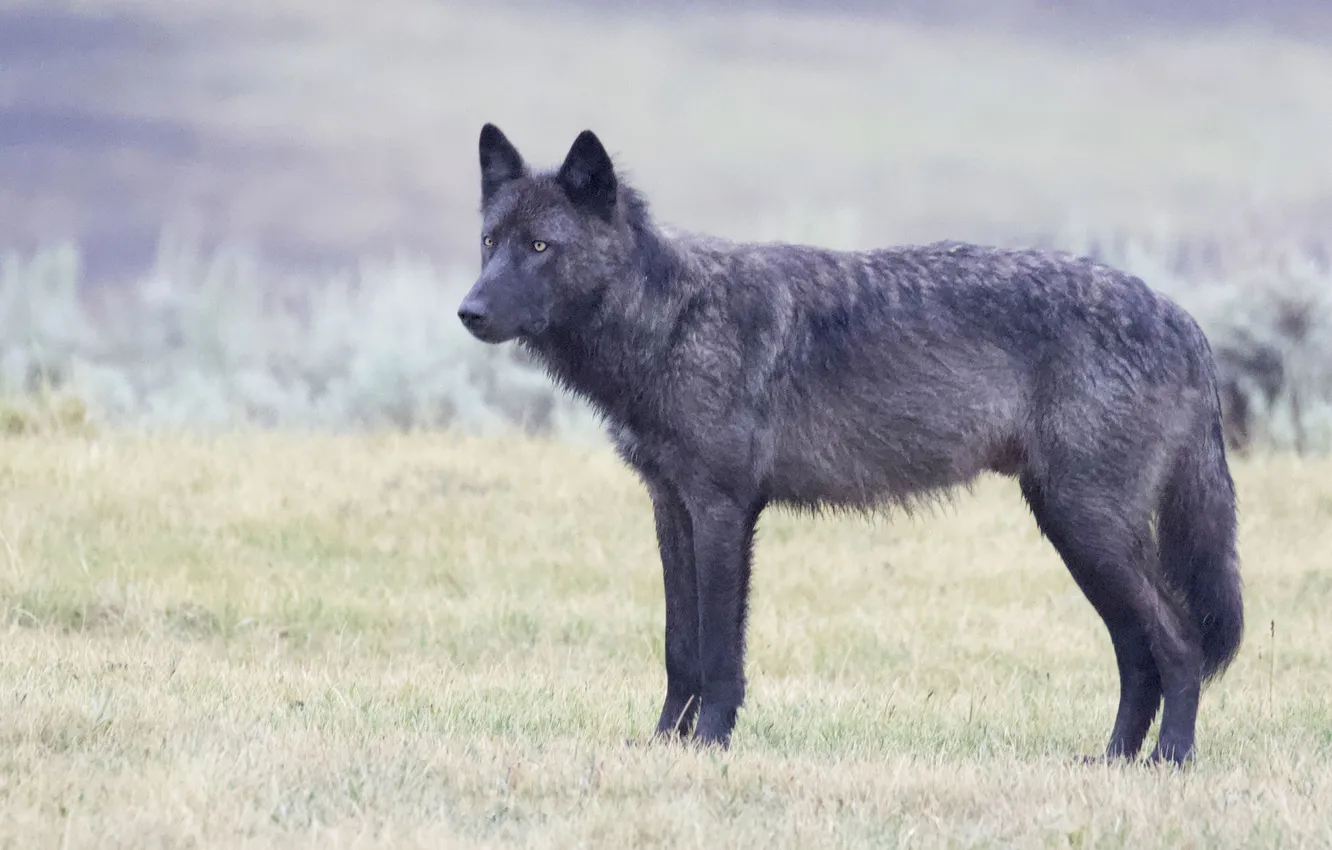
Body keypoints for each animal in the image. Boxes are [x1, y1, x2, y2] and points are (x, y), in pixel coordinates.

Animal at [457, 124, 1244, 765]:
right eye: (491, 243)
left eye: (540, 247)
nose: (468, 312)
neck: (673, 319)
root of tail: (1186, 321)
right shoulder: (670, 507)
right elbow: (680, 648)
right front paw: (662, 745)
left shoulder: (723, 511)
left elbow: (718, 654)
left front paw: (709, 744)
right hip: (1076, 534)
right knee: (1138, 653)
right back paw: (1112, 761)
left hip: (1089, 531)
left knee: (1179, 643)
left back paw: (1169, 762)